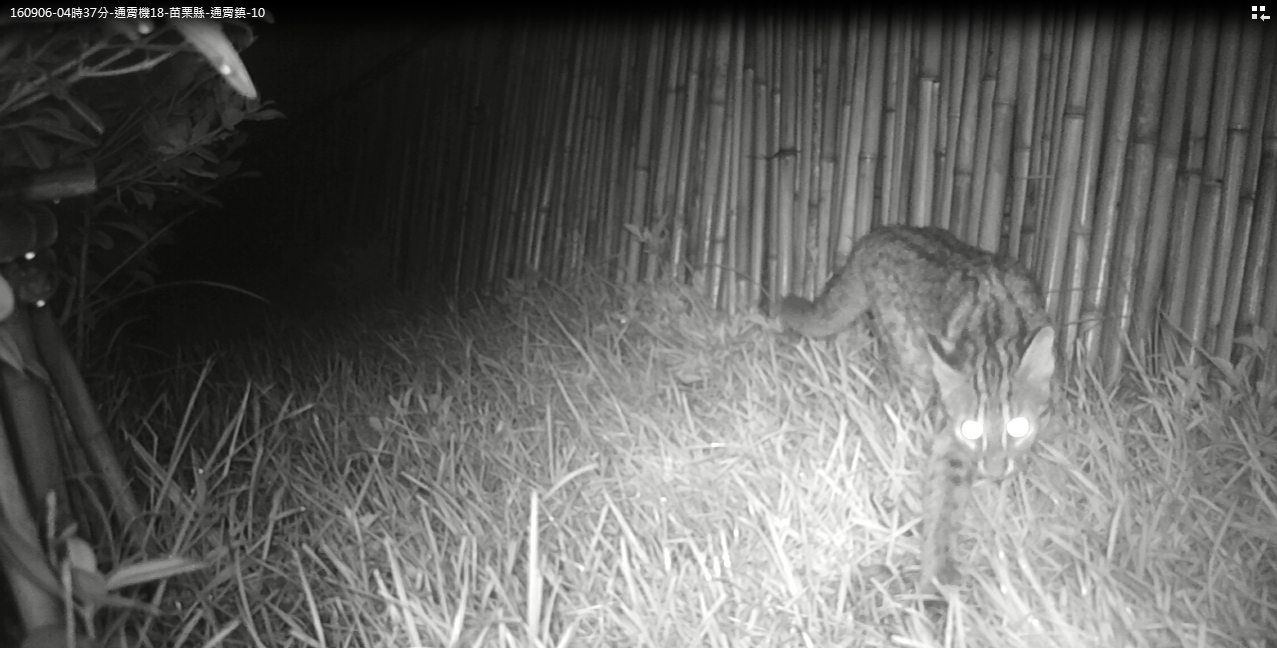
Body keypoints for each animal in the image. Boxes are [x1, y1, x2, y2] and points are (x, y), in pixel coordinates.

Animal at [776, 226, 1057, 595]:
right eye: (971, 430)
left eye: (1019, 427)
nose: (994, 469)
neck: (994, 340)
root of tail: (876, 234)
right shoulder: (949, 439)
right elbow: (945, 500)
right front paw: (939, 572)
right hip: (909, 354)